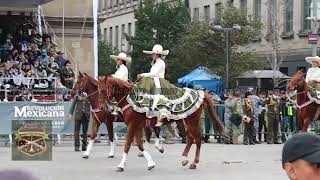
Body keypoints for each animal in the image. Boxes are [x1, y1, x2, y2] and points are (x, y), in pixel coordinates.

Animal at [97, 75, 225, 172]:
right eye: (98, 90)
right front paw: (150, 163)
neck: (130, 99)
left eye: (103, 90)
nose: (103, 108)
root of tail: (200, 93)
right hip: (183, 121)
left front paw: (121, 165)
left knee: (197, 139)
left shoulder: (133, 125)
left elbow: (128, 145)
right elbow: (140, 145)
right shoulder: (137, 126)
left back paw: (194, 163)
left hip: (192, 121)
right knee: (190, 138)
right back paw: (184, 159)